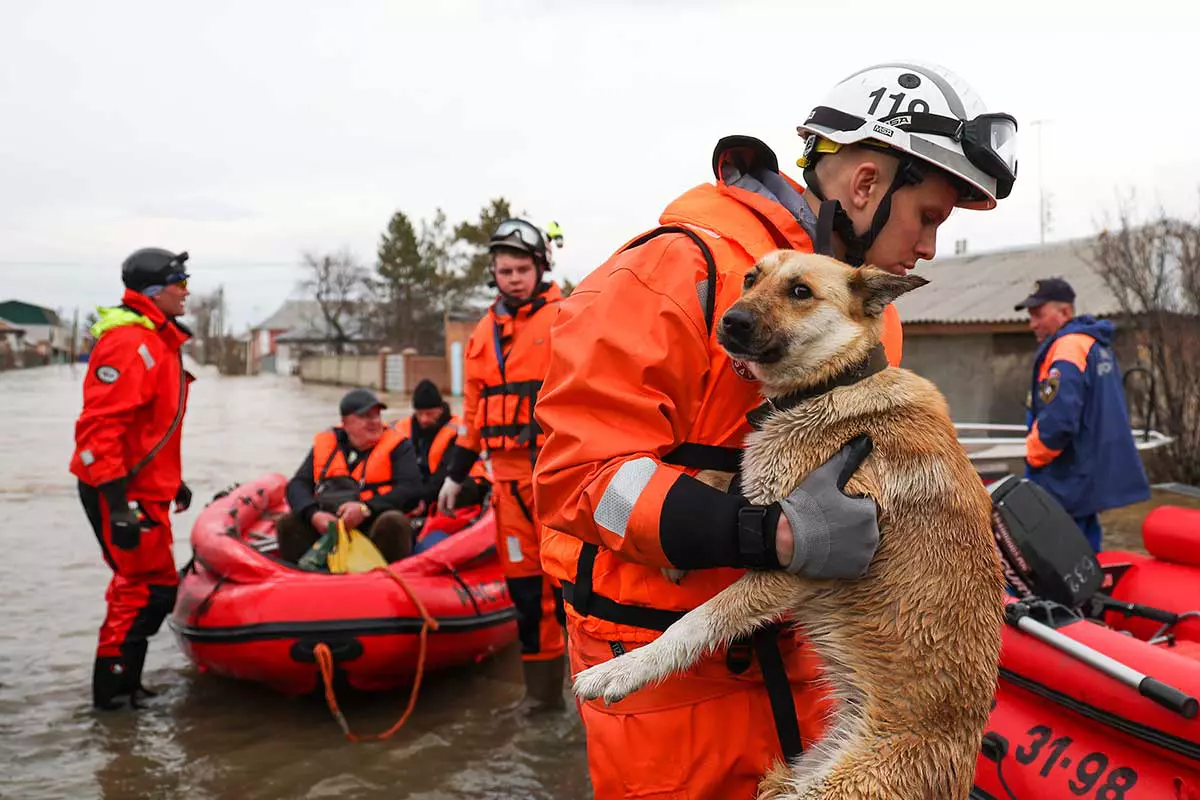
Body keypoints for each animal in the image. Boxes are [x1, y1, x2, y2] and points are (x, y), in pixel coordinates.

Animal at [571, 251, 1003, 800]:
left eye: (800, 292)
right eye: (751, 278)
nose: (729, 320)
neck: (836, 382)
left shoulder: (797, 564)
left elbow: (694, 622)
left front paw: (622, 670)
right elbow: (725, 475)